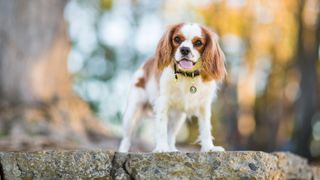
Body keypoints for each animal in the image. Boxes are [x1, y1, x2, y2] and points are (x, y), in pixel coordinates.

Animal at [119, 22, 226, 152]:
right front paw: (161, 148)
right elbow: (161, 128)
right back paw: (123, 151)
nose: (185, 49)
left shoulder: (204, 106)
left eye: (198, 42)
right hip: (132, 111)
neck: (187, 75)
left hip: (178, 118)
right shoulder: (162, 103)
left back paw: (172, 149)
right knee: (127, 137)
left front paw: (209, 148)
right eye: (177, 39)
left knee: (171, 133)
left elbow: (205, 129)